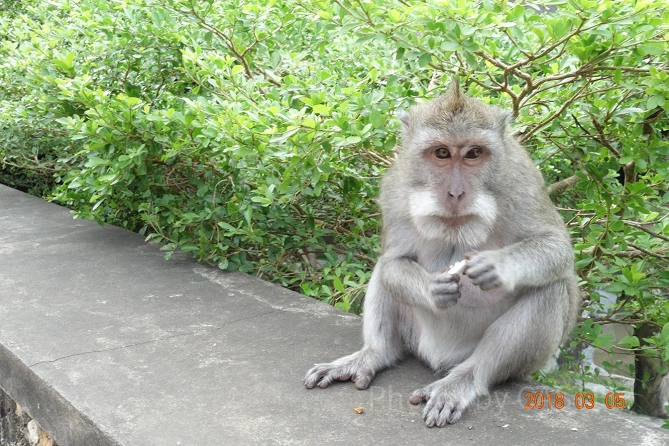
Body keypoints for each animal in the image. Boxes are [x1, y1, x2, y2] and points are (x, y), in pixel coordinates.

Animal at [303, 79, 580, 427]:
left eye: (474, 153)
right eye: (442, 153)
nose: (456, 193)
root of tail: (440, 356)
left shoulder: (523, 181)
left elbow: (557, 248)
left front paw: (498, 266)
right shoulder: (395, 187)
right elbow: (393, 260)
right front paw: (431, 289)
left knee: (550, 288)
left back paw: (463, 380)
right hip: (416, 336)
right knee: (384, 272)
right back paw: (375, 353)